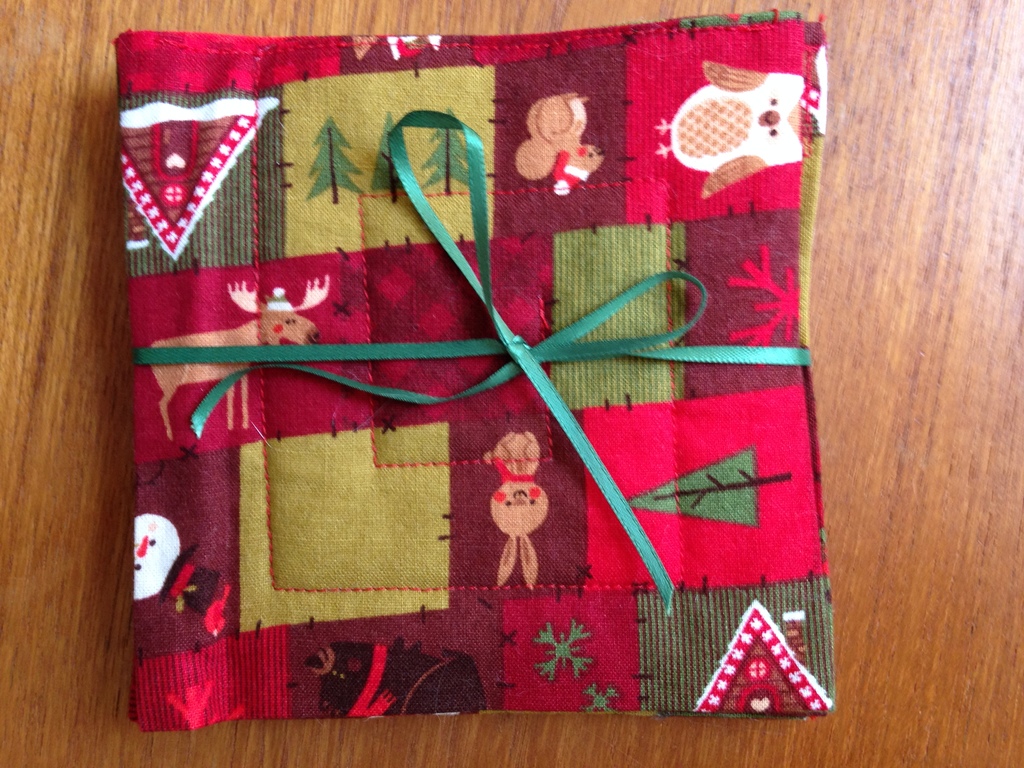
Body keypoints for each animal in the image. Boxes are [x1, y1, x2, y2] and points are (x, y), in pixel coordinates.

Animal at [150, 277, 329, 441]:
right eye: (289, 320)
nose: (315, 334)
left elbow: (237, 397)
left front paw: (236, 424)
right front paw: (236, 425)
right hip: (169, 382)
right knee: (161, 404)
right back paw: (170, 435)